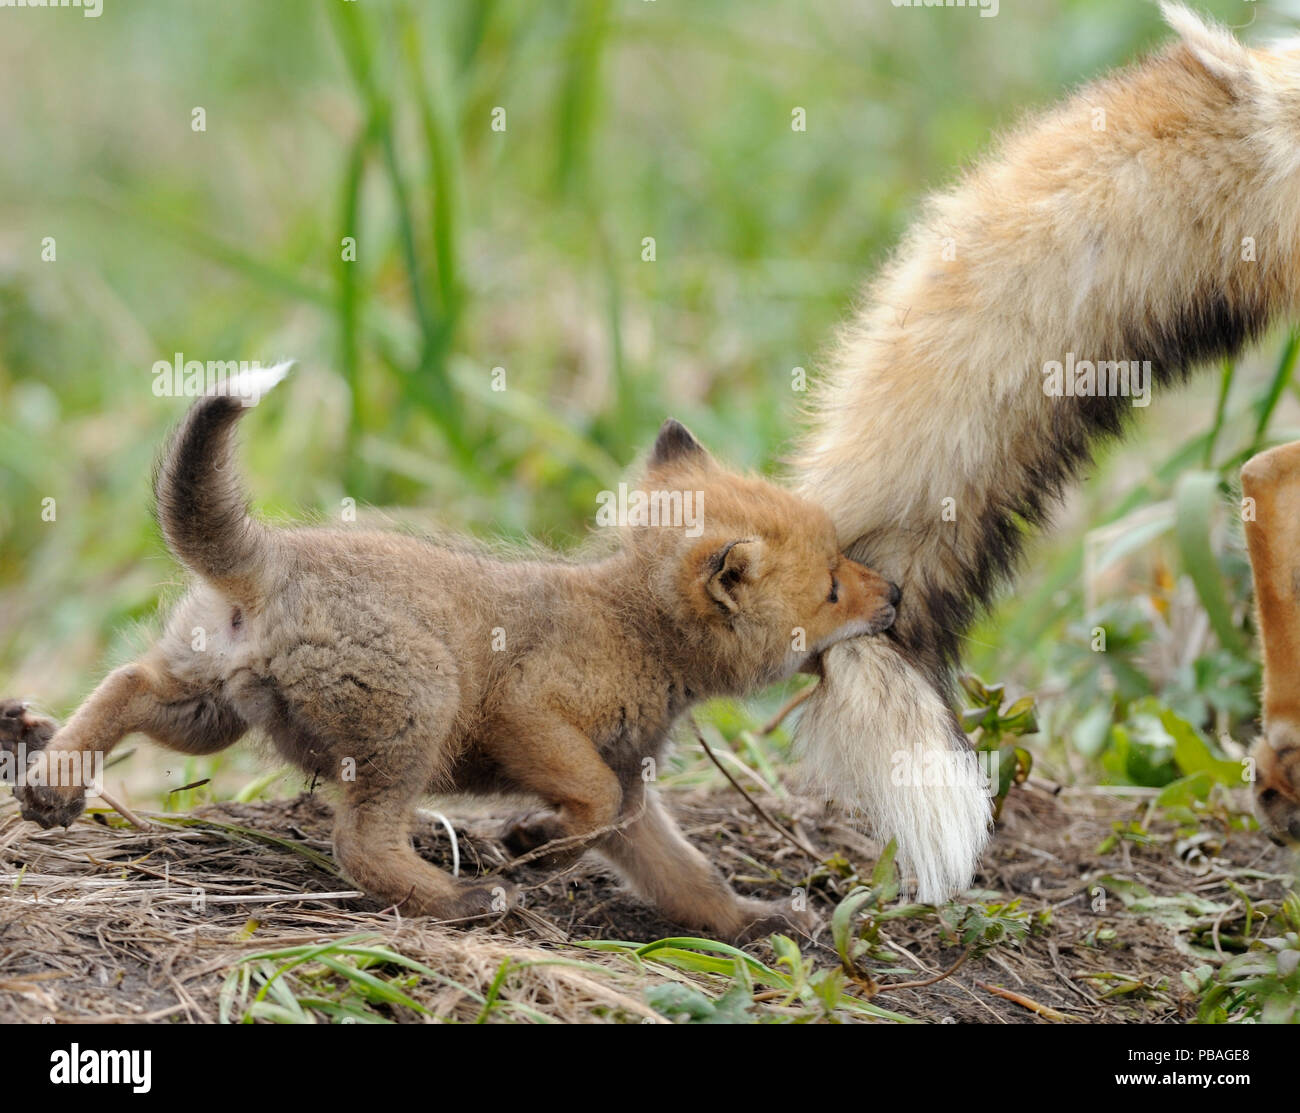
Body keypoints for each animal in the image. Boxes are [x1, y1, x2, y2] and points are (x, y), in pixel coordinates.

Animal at [9, 365, 900, 942]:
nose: (893, 593)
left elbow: (686, 876)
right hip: (418, 710)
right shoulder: (530, 714)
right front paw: (532, 845)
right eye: (831, 587)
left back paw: (53, 780)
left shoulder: (635, 788)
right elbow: (589, 801)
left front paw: (753, 920)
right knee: (359, 844)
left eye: (843, 565)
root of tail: (271, 557)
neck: (634, 627)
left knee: (126, 680)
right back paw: (465, 900)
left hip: (208, 708)